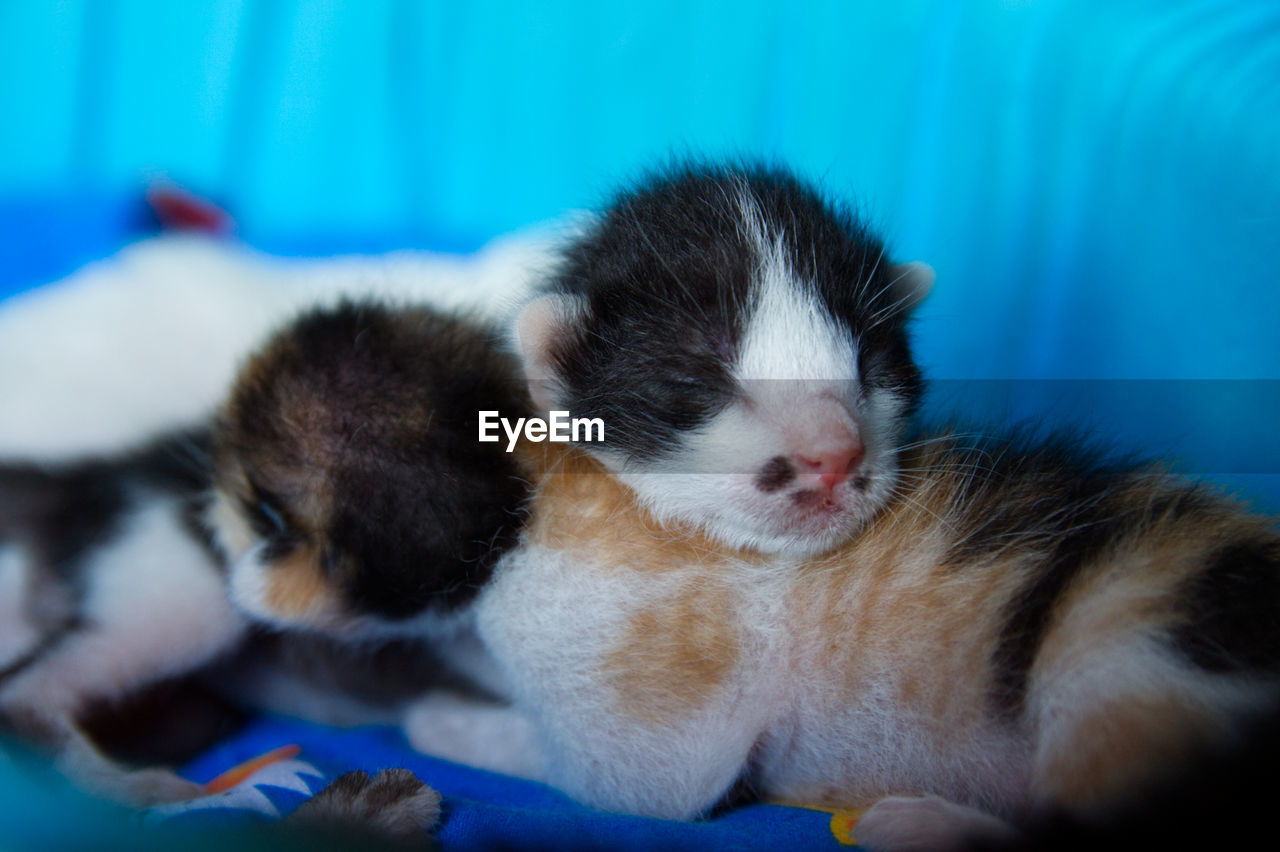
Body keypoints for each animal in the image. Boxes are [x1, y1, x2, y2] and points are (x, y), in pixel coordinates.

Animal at [401, 162, 1280, 844]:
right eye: (697, 377)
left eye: (870, 364)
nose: (834, 455)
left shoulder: (664, 709)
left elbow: (620, 775)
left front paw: (441, 721)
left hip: (1133, 636)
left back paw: (930, 825)